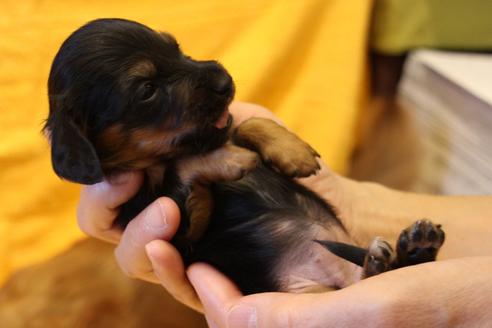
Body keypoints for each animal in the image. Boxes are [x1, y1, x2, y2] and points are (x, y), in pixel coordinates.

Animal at [43, 19, 446, 294]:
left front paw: (294, 152)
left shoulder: (230, 126)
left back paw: (416, 245)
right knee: (375, 274)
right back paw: (392, 255)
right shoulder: (180, 228)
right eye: (146, 90)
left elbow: (247, 122)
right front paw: (233, 160)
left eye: (175, 46)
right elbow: (184, 168)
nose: (225, 80)